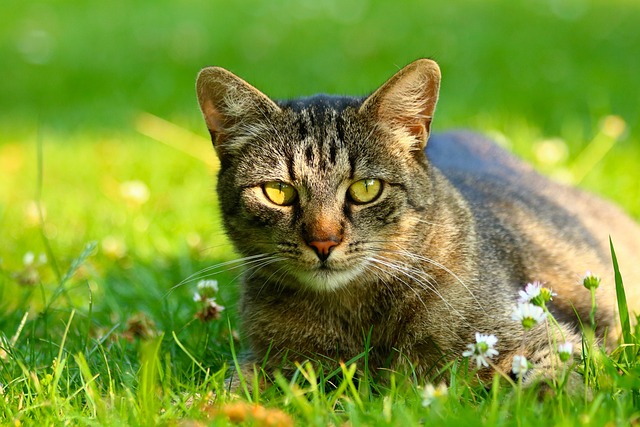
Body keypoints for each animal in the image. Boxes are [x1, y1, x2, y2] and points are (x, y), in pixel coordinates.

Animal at [195, 59, 640, 388]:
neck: (352, 316)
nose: (324, 242)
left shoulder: (546, 340)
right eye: (278, 192)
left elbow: (552, 384)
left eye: (366, 188)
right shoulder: (267, 361)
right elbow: (227, 391)